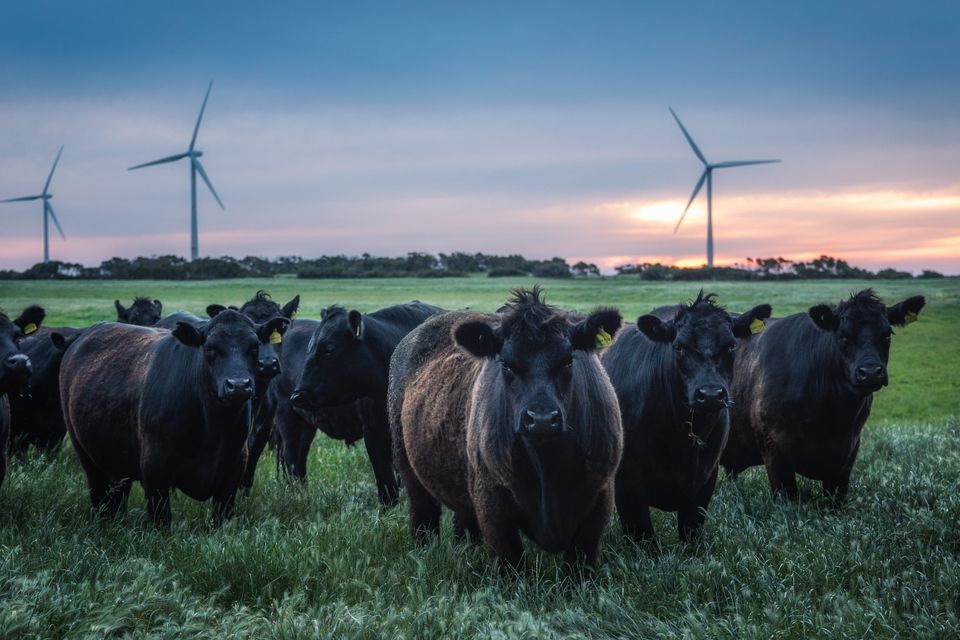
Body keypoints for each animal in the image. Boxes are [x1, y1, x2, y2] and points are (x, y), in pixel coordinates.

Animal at [60, 309, 289, 524]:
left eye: (254, 346)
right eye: (210, 348)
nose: (239, 385)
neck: (212, 428)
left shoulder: (234, 471)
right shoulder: (154, 470)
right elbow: (161, 519)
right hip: (86, 455)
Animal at [389, 288, 623, 570]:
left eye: (568, 362)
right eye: (507, 364)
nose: (541, 419)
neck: (549, 468)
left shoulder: (600, 498)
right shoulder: (492, 503)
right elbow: (510, 564)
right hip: (408, 468)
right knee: (423, 514)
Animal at [601, 292, 772, 543]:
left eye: (731, 345)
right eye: (679, 347)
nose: (710, 394)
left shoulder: (706, 474)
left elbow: (692, 527)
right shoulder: (627, 479)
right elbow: (642, 533)